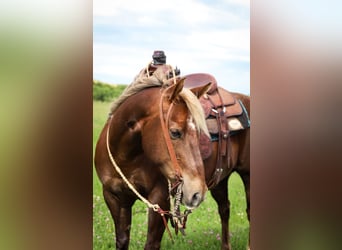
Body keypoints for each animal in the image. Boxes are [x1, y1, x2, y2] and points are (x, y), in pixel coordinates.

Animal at [93, 69, 211, 250]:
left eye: (198, 134)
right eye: (175, 132)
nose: (198, 193)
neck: (126, 159)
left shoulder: (160, 200)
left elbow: (152, 243)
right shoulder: (114, 197)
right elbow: (122, 240)